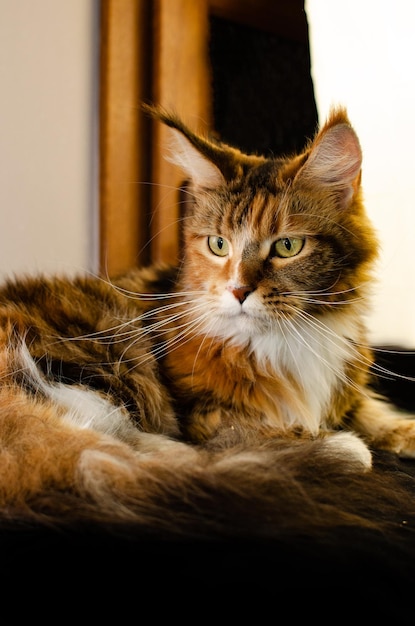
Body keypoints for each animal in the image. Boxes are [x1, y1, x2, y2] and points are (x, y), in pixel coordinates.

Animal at [0, 102, 415, 540]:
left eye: (288, 246)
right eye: (219, 245)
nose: (238, 290)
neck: (288, 338)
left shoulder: (344, 385)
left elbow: (374, 411)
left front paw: (403, 431)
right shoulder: (207, 414)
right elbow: (268, 429)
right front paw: (330, 440)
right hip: (96, 368)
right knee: (134, 461)